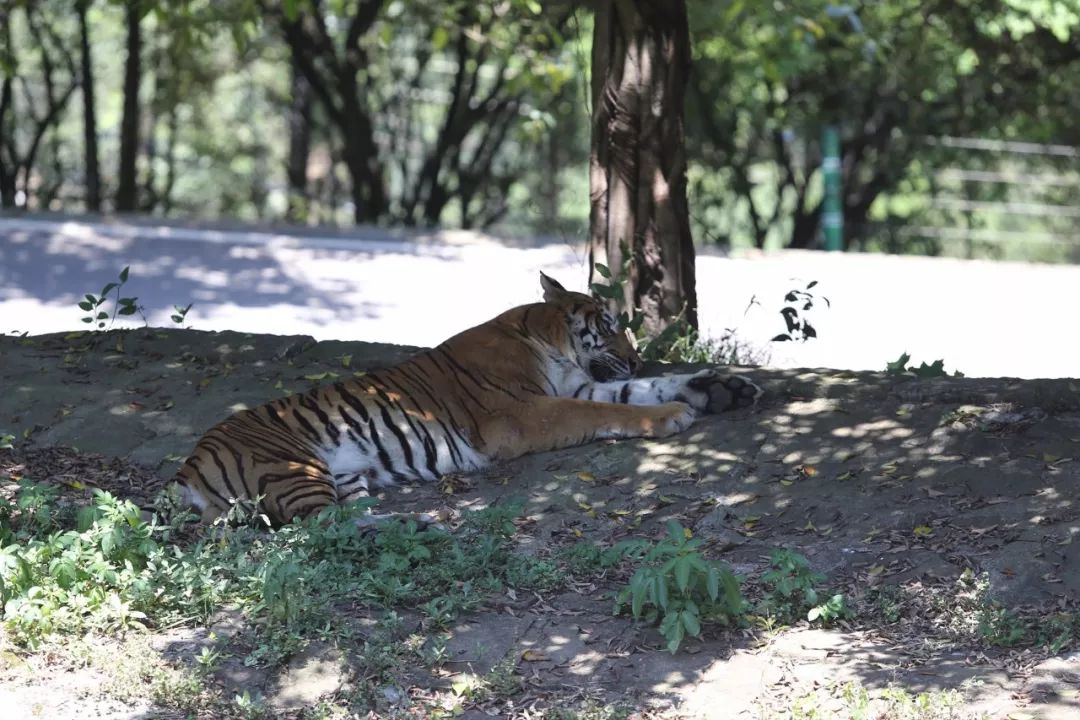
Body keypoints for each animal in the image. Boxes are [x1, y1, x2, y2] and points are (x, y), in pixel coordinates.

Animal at [174, 273, 760, 526]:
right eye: (612, 328)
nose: (637, 359)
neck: (550, 341)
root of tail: (190, 463)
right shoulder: (527, 413)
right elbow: (612, 408)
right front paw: (675, 415)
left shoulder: (578, 384)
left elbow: (635, 392)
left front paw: (722, 388)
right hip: (293, 469)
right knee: (317, 528)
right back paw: (416, 527)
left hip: (347, 478)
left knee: (346, 518)